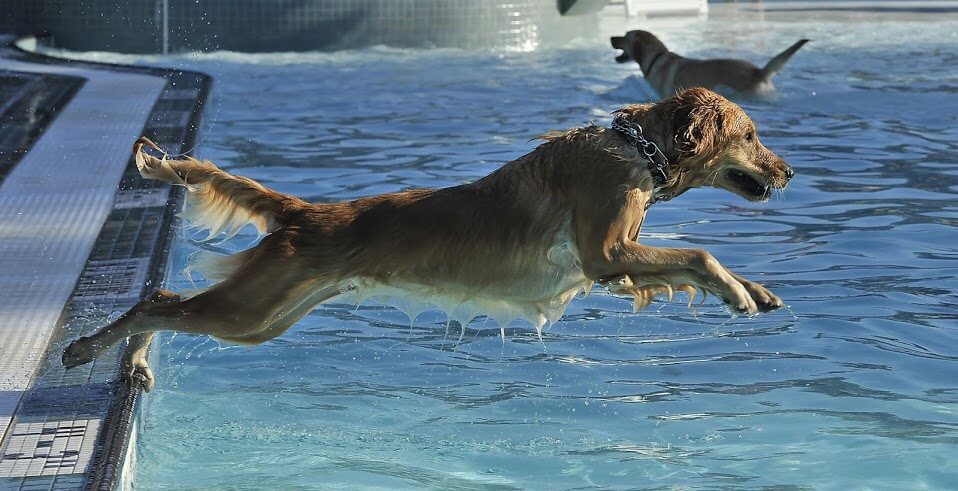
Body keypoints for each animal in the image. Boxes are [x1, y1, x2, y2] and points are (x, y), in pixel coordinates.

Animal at [62, 86, 796, 390]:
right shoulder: (605, 252)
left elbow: (688, 260)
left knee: (168, 304)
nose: (789, 170)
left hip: (267, 316)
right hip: (252, 308)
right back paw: (89, 347)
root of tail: (304, 212)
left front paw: (754, 290)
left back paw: (132, 361)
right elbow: (699, 252)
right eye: (753, 134)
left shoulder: (617, 265)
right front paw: (737, 289)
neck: (635, 149)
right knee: (156, 300)